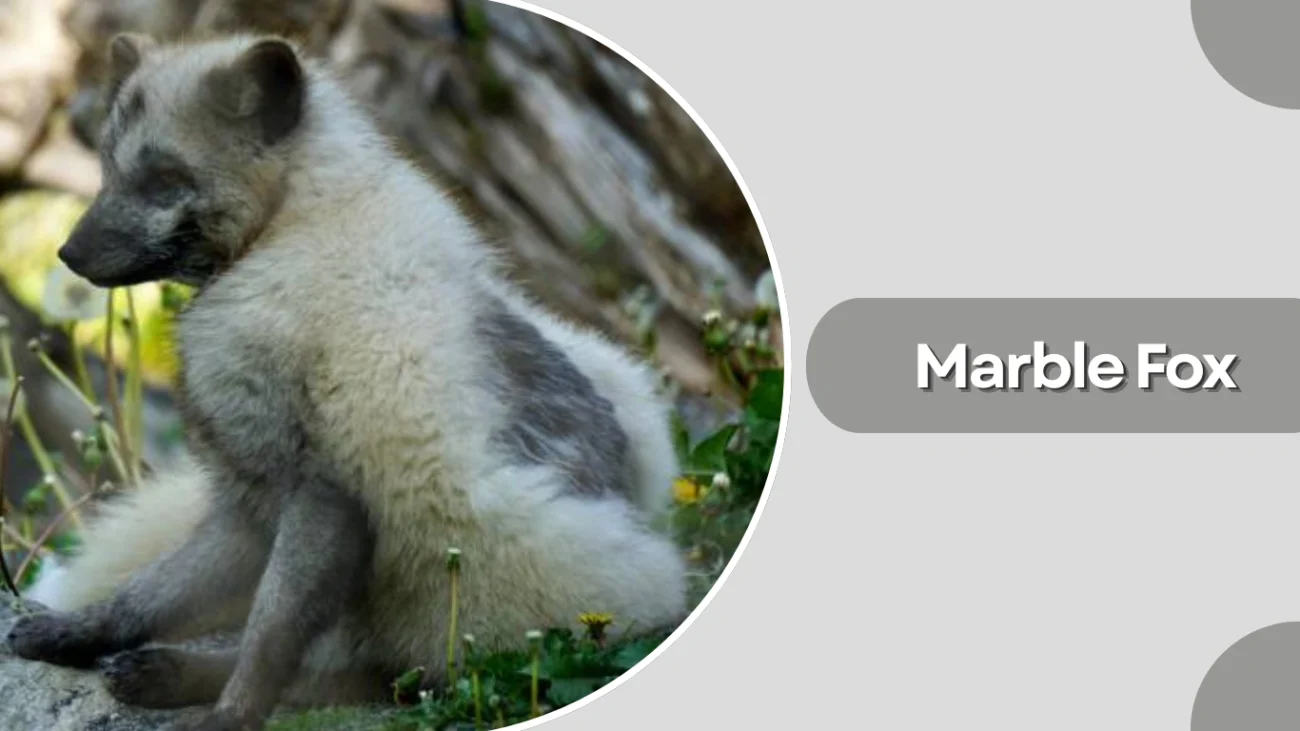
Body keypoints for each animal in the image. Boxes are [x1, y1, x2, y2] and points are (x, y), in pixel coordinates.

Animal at [6, 31, 689, 731]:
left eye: (165, 178)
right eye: (109, 170)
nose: (66, 256)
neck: (292, 225)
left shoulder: (325, 491)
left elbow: (269, 636)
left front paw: (232, 716)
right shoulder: (250, 499)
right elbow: (147, 595)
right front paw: (79, 633)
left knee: (367, 676)